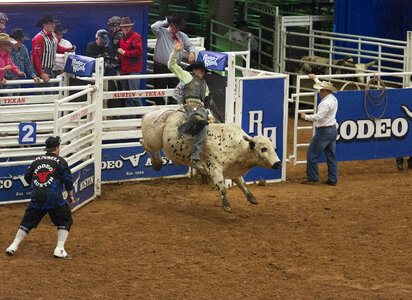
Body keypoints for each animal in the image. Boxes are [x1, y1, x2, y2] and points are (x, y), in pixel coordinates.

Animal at [140, 106, 282, 212]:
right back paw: (156, 163)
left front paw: (251, 198)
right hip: (152, 140)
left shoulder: (233, 170)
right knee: (143, 143)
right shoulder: (214, 168)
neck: (236, 146)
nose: (278, 163)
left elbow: (242, 183)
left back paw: (158, 163)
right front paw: (226, 206)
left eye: (273, 147)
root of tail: (148, 113)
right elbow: (222, 187)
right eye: (263, 149)